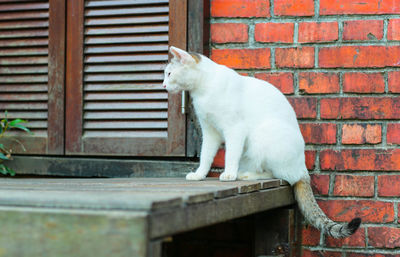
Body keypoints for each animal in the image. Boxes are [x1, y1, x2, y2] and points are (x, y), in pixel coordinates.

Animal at [164, 45, 360, 236]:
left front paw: (229, 174)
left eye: (169, 73)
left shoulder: (235, 129)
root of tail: (302, 169)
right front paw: (199, 174)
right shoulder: (210, 131)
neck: (204, 87)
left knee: (280, 176)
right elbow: (205, 156)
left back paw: (245, 175)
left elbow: (231, 155)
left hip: (263, 135)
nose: (164, 84)